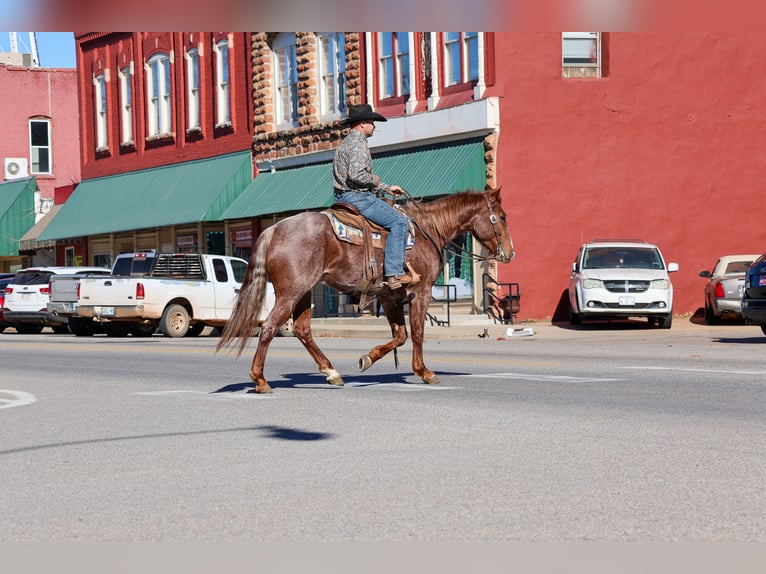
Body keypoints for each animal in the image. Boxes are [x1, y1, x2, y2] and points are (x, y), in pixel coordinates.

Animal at [216, 187, 515, 393]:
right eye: (501, 217)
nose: (510, 252)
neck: (428, 230)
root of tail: (274, 229)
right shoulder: (421, 292)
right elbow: (417, 333)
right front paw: (424, 372)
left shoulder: (389, 295)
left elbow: (400, 336)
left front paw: (367, 359)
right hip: (291, 292)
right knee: (268, 327)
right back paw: (260, 380)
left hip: (303, 292)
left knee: (301, 330)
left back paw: (332, 372)